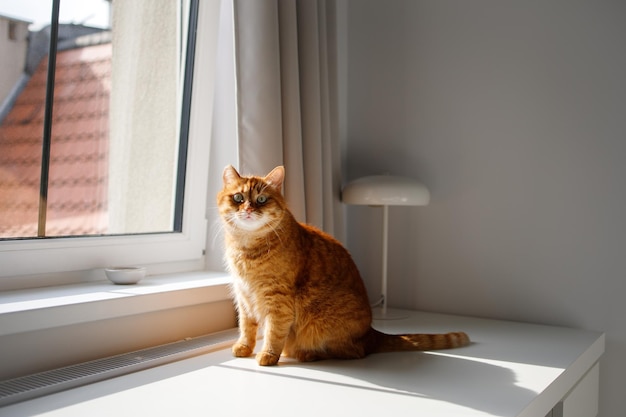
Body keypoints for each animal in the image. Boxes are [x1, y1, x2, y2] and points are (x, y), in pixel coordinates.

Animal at [217, 164, 466, 366]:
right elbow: (247, 328)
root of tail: (371, 334)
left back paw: (308, 353)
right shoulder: (243, 297)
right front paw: (244, 347)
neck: (246, 247)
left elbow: (273, 332)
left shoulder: (278, 301)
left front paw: (268, 355)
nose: (248, 210)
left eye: (261, 200)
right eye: (238, 198)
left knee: (352, 352)